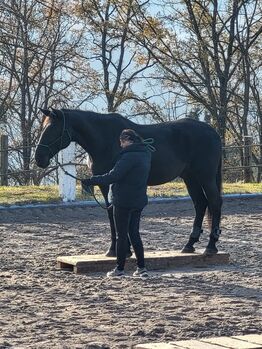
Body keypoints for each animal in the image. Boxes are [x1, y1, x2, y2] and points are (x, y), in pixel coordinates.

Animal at [35, 109, 223, 256]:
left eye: (52, 129)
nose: (39, 159)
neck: (105, 139)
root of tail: (213, 132)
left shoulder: (114, 180)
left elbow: (116, 213)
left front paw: (121, 249)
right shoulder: (105, 183)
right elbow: (111, 213)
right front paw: (116, 250)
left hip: (205, 177)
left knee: (214, 203)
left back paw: (210, 246)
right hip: (190, 178)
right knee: (200, 203)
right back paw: (189, 244)